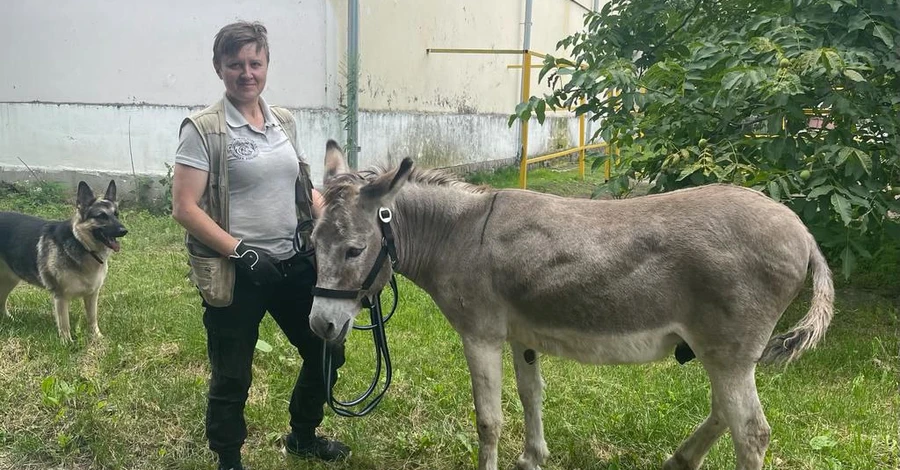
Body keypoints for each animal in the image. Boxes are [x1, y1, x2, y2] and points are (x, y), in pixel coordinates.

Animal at [0, 181, 128, 342]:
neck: (81, 244)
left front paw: (97, 337)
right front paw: (67, 343)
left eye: (116, 215)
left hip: (10, 280)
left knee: (1, 301)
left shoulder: (92, 295)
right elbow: (64, 324)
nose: (124, 231)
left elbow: (92, 318)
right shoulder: (61, 297)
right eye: (102, 216)